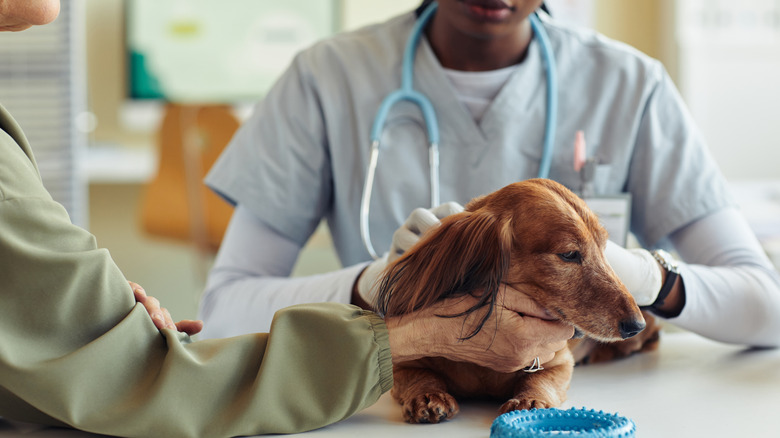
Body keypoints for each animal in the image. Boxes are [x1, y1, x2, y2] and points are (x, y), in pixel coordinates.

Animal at [374, 179, 660, 424]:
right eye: (569, 254)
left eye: (604, 247)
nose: (636, 325)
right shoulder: (404, 363)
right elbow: (419, 374)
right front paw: (427, 395)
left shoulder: (560, 363)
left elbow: (539, 380)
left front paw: (531, 400)